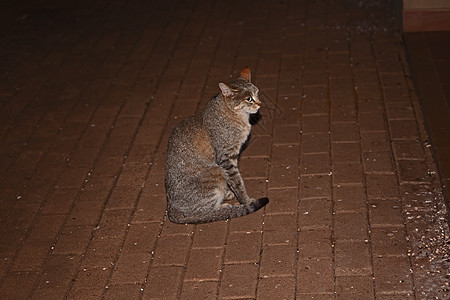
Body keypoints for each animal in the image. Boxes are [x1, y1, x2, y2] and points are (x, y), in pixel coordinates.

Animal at [166, 67, 268, 223]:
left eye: (257, 93)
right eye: (249, 99)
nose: (260, 104)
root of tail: (170, 207)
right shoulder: (226, 159)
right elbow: (238, 183)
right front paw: (246, 201)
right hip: (217, 172)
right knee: (200, 213)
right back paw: (223, 207)